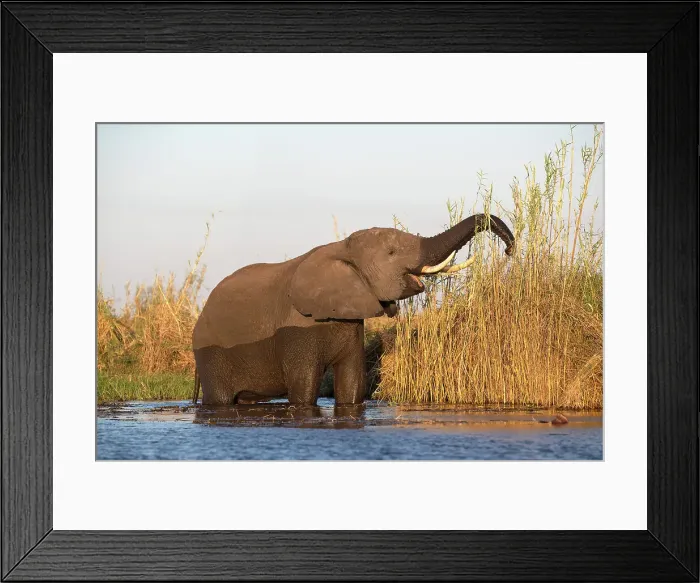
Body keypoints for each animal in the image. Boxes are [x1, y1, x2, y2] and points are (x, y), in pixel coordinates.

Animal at [191, 213, 515, 408]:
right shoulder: (297, 327)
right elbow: (304, 388)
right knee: (221, 400)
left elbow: (352, 384)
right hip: (210, 352)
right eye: (391, 253)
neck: (341, 248)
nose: (510, 249)